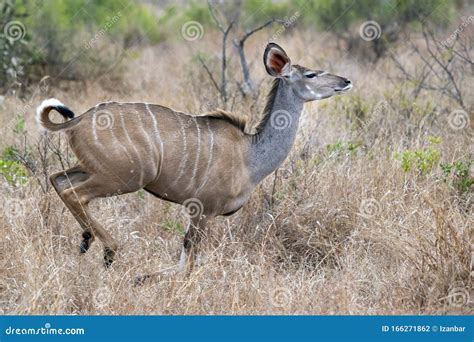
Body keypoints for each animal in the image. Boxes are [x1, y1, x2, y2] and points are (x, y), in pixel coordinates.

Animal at [37, 42, 352, 276]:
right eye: (310, 75)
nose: (346, 80)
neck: (249, 155)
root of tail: (77, 121)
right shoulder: (202, 209)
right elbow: (187, 264)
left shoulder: (195, 212)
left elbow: (183, 259)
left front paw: (142, 277)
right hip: (124, 177)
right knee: (75, 192)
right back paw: (108, 251)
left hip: (95, 169)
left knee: (58, 178)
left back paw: (86, 241)